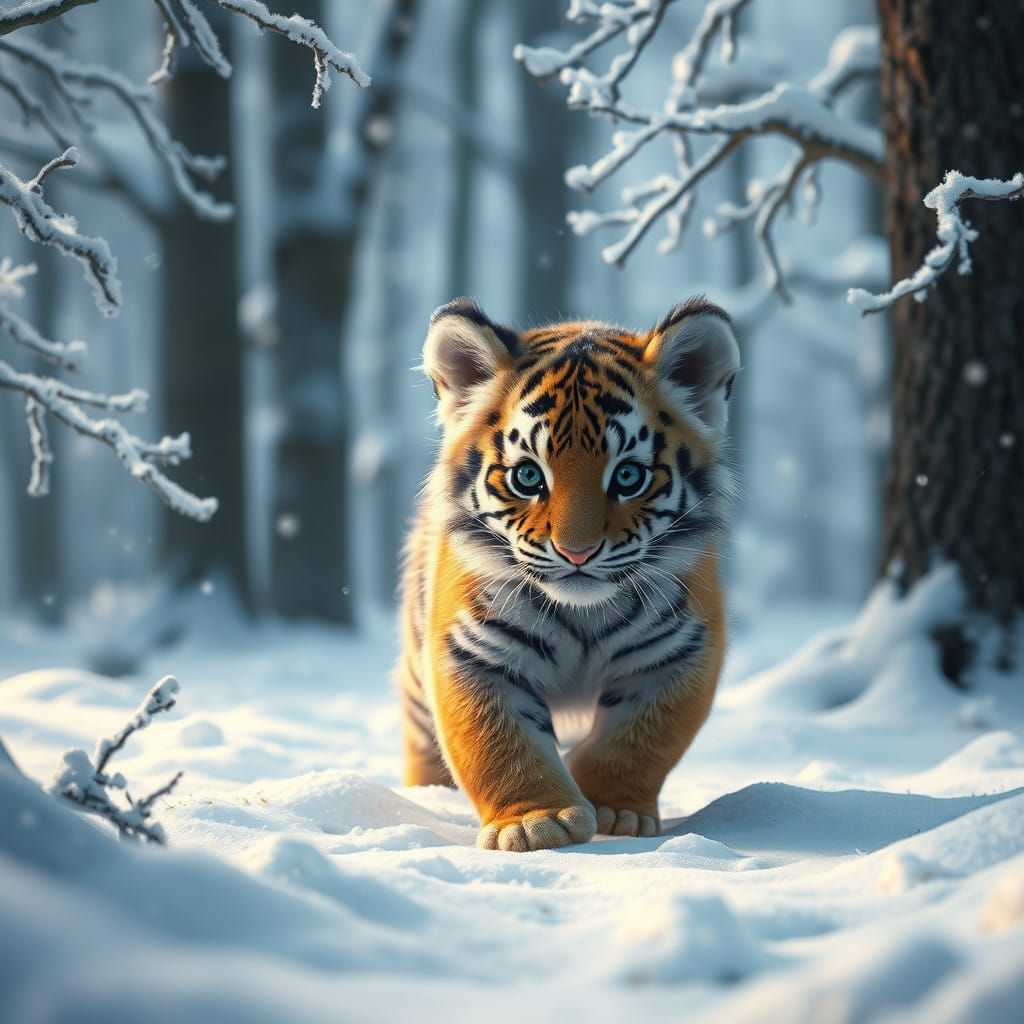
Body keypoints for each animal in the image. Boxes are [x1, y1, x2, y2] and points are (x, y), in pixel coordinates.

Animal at [396, 296, 739, 852]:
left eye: (628, 476)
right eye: (528, 476)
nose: (576, 552)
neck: (584, 615)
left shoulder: (680, 652)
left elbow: (641, 741)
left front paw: (616, 811)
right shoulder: (471, 653)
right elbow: (498, 745)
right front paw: (535, 822)